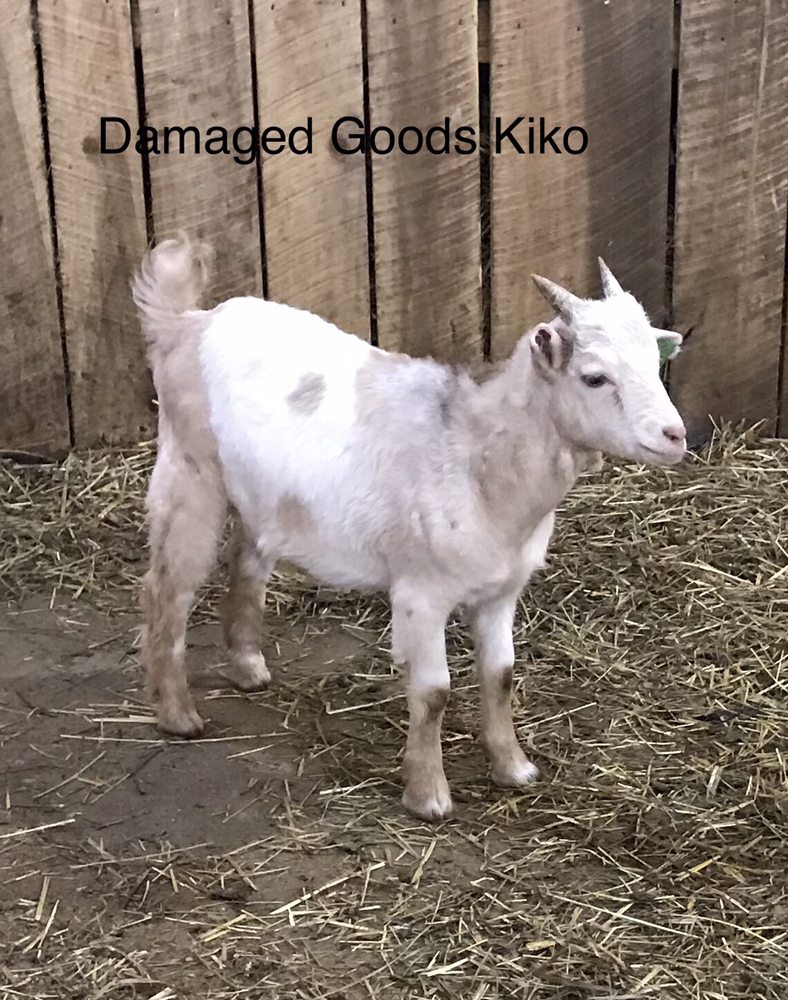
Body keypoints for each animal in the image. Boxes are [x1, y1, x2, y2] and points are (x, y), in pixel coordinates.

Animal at [132, 239, 686, 821]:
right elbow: (434, 692)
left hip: (265, 495)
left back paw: (247, 666)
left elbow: (501, 675)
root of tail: (186, 323)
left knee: (246, 559)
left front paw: (514, 768)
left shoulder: (501, 590)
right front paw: (428, 796)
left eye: (655, 362)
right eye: (595, 377)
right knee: (168, 586)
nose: (674, 435)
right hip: (190, 467)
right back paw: (177, 714)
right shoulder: (422, 592)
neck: (474, 451)